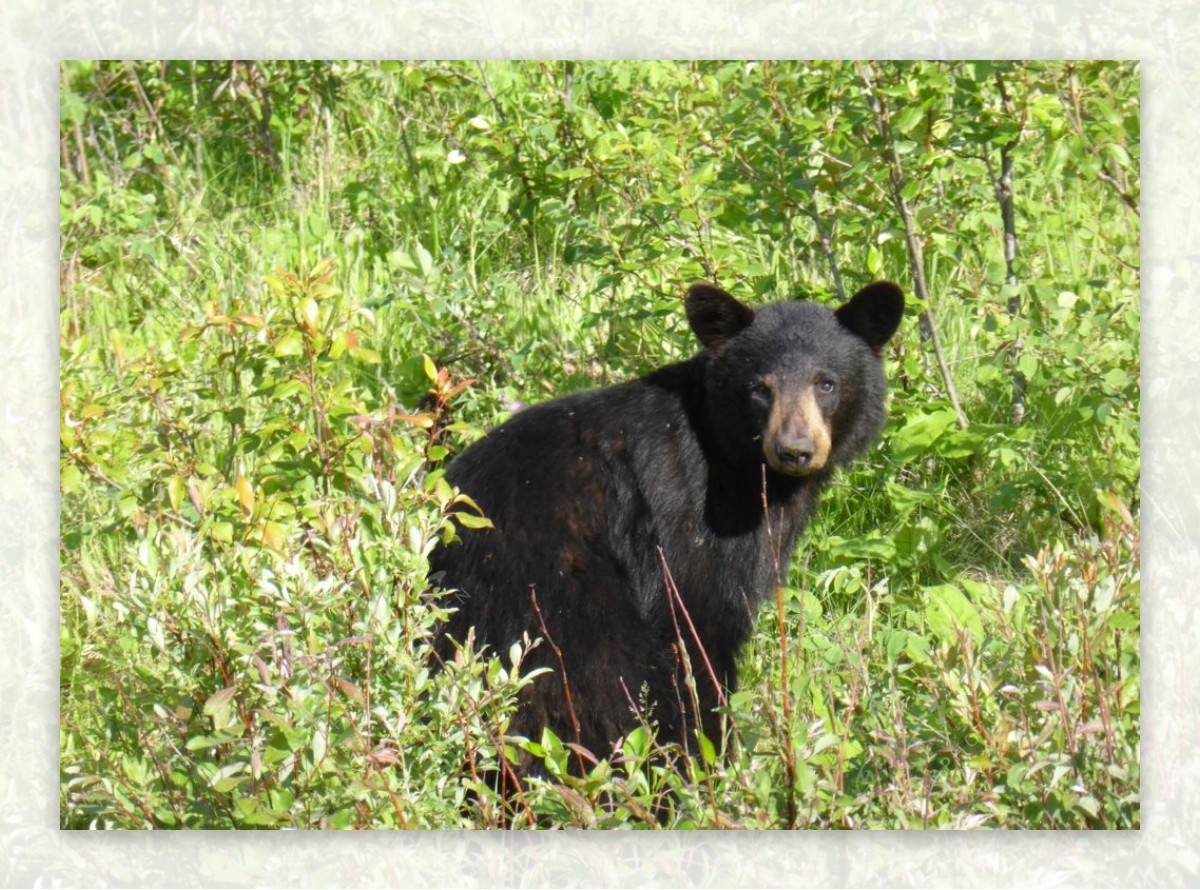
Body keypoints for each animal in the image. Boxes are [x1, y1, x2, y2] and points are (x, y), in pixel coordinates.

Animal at [427, 280, 902, 772]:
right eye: (760, 388)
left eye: (826, 382)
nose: (795, 449)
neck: (735, 463)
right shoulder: (689, 520)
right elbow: (700, 627)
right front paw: (714, 756)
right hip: (556, 603)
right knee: (606, 681)